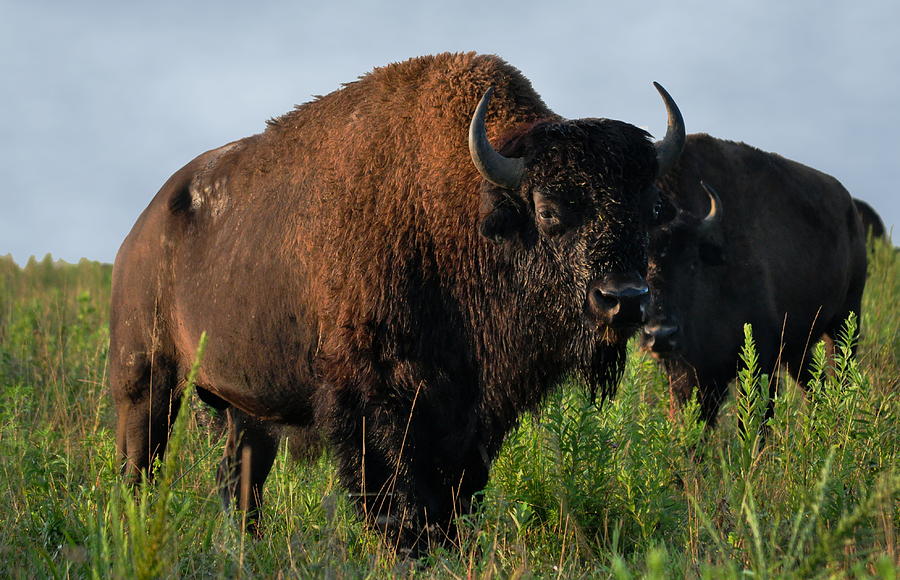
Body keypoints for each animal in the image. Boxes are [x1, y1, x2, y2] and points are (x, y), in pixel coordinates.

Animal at [110, 51, 684, 548]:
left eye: (651, 209)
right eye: (548, 211)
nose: (624, 299)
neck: (461, 212)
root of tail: (138, 234)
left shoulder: (471, 412)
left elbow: (458, 489)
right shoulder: (378, 395)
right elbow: (395, 488)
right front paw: (408, 547)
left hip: (247, 410)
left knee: (238, 482)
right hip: (147, 383)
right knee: (139, 467)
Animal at [640, 135, 864, 426]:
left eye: (692, 263)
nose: (660, 334)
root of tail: (850, 208)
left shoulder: (761, 361)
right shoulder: (691, 376)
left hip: (846, 320)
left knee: (842, 375)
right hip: (798, 349)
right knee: (816, 386)